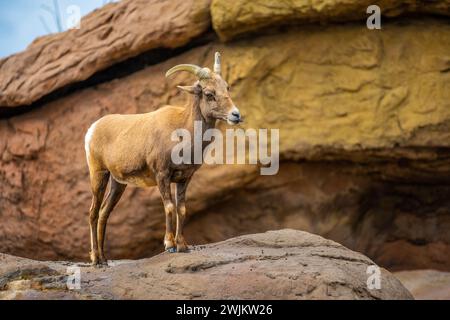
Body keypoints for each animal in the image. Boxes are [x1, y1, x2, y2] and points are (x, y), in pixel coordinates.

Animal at [84, 52, 239, 264]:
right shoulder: (162, 175)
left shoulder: (184, 179)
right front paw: (170, 245)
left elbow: (181, 209)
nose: (236, 115)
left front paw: (183, 246)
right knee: (93, 213)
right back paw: (96, 260)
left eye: (226, 87)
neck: (182, 133)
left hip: (118, 183)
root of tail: (92, 129)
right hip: (99, 175)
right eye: (209, 93)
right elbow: (169, 207)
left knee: (103, 213)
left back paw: (105, 259)